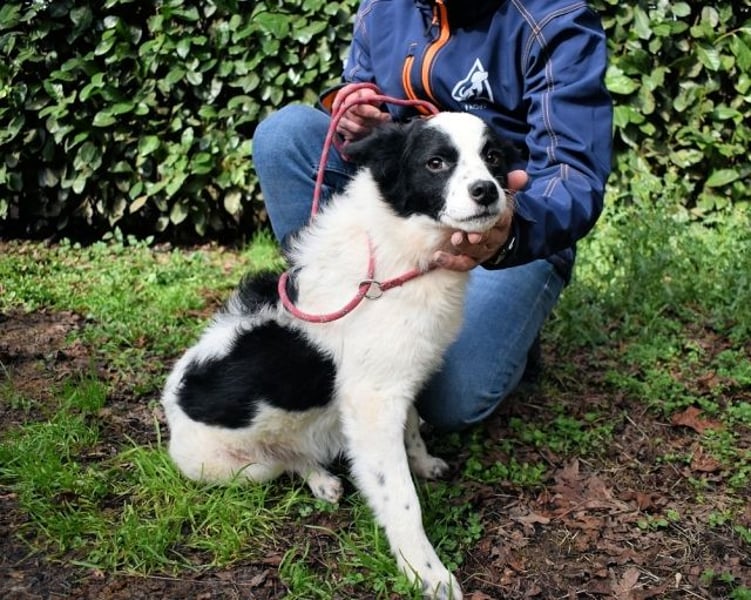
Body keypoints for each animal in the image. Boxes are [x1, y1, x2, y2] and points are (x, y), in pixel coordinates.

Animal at [161, 112, 515, 599]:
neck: (393, 254)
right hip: (240, 468)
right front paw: (426, 573)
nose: (487, 190)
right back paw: (318, 476)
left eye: (493, 157)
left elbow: (411, 433)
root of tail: (169, 404)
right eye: (436, 162)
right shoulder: (372, 402)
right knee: (284, 461)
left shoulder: (394, 384)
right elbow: (401, 500)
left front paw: (423, 464)